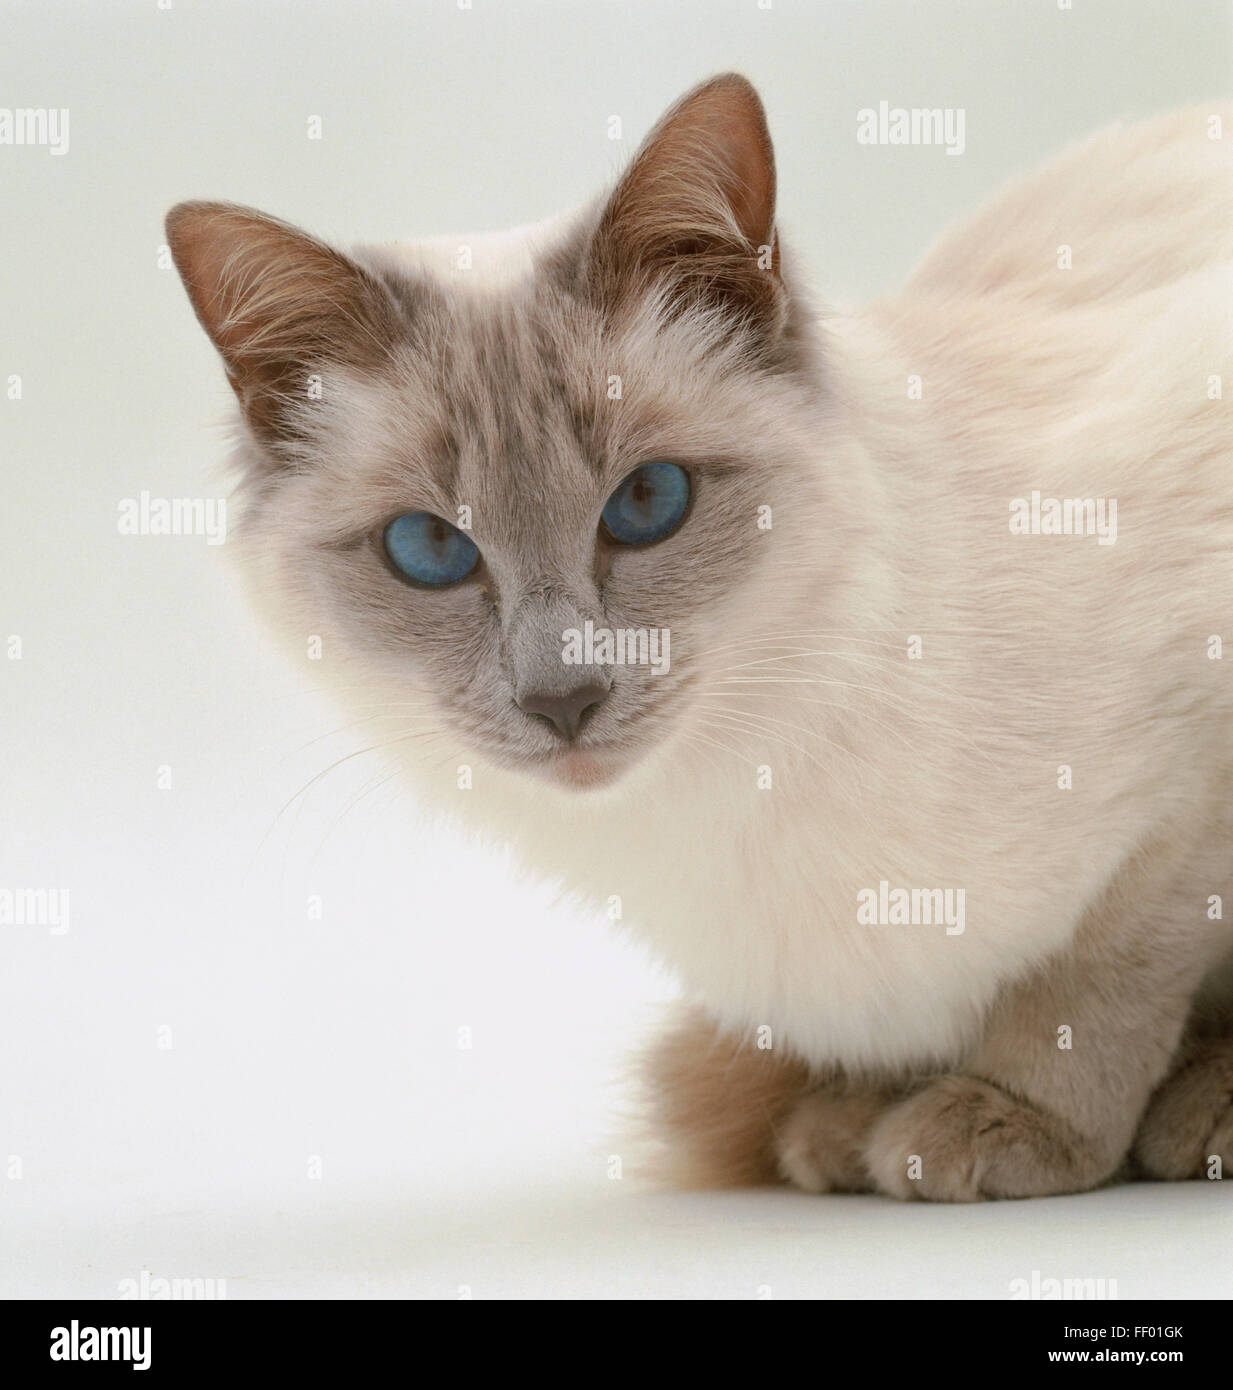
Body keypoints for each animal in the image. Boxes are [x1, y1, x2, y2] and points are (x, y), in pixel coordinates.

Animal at [166, 76, 1233, 1200]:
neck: (732, 781)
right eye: (429, 549)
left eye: (647, 502)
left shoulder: (1181, 801)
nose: (563, 700)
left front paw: (1010, 1123)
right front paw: (851, 1123)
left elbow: (1087, 995)